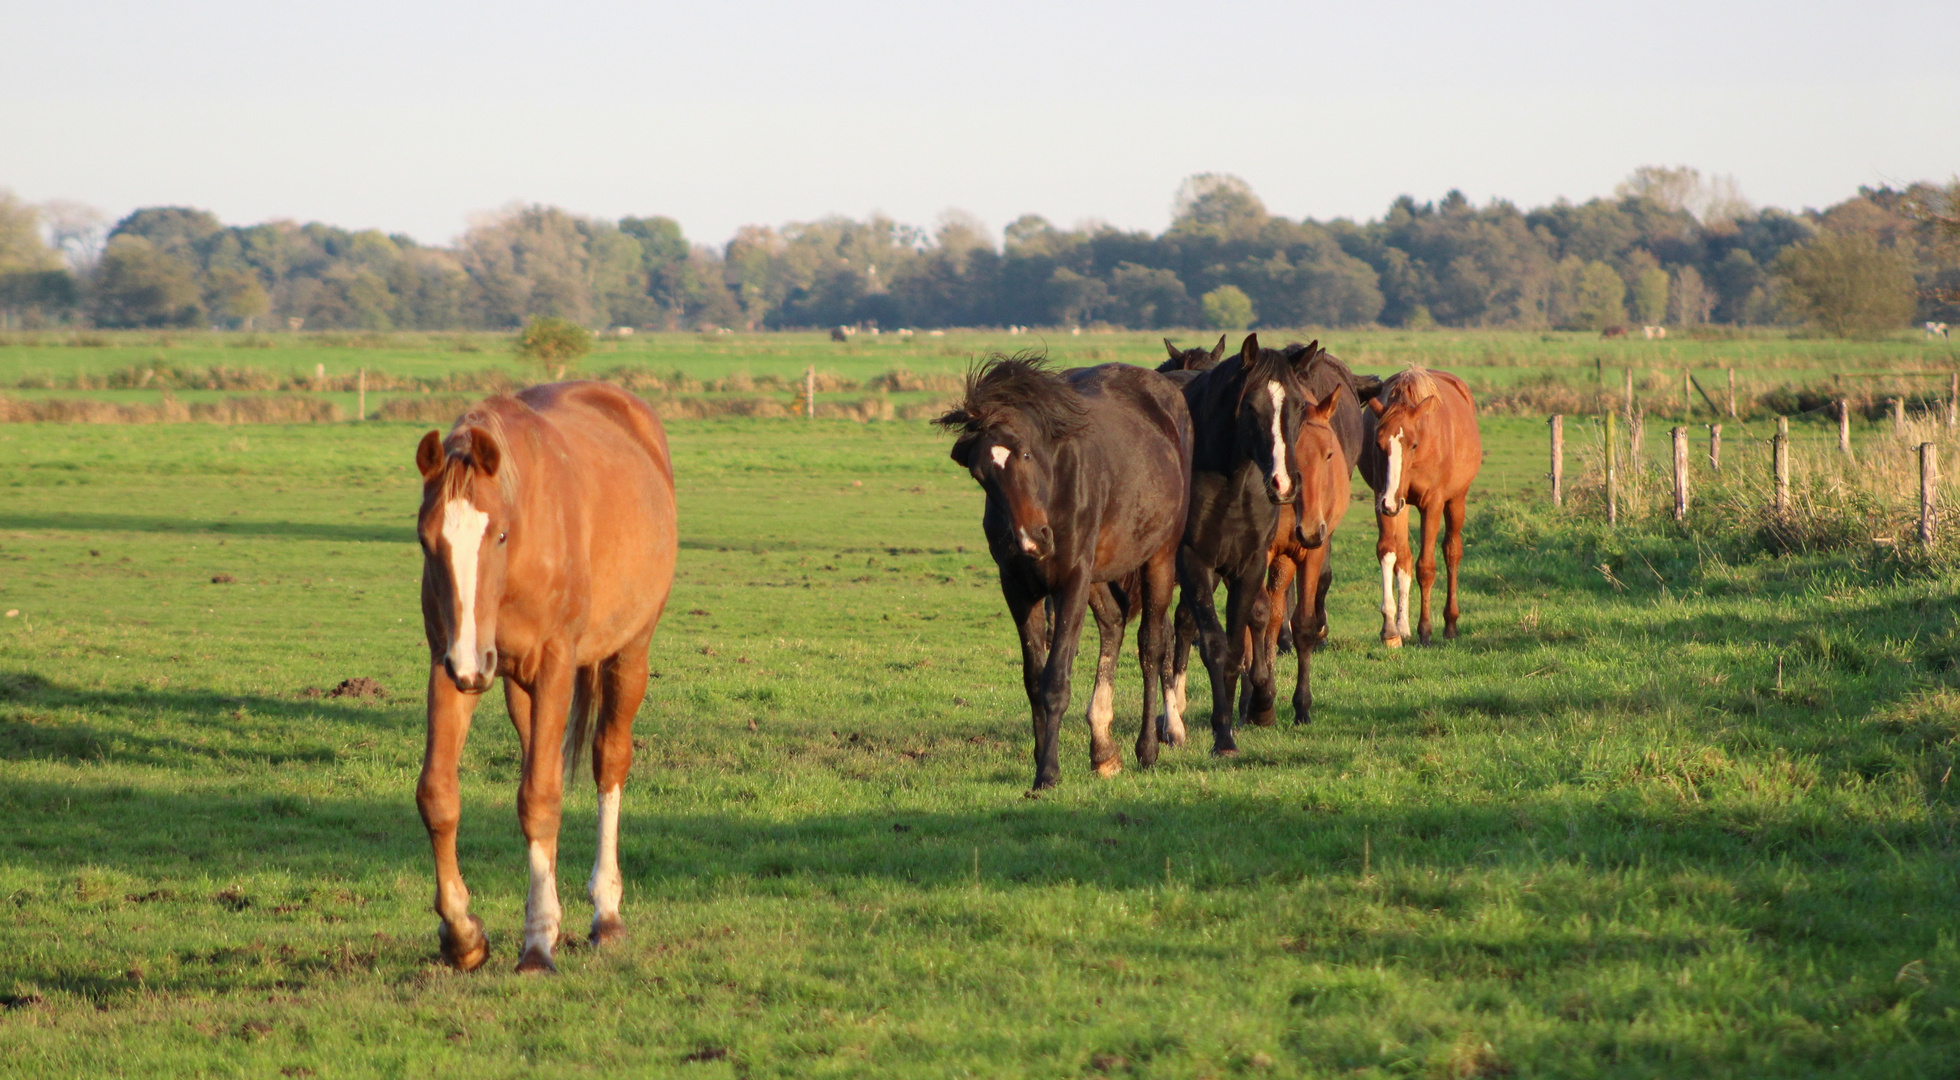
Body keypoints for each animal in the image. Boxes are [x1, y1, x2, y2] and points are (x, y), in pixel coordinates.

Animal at [411, 384, 674, 976]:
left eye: (501, 534)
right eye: (426, 540)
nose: (471, 663)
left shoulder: (554, 664)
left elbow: (539, 798)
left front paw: (535, 948)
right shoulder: (449, 662)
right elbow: (440, 795)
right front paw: (463, 935)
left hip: (629, 654)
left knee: (609, 761)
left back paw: (606, 914)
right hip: (515, 686)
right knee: (543, 763)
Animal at [936, 358, 1191, 791]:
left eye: (1025, 454)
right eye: (979, 474)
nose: (1033, 540)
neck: (1054, 487)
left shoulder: (1070, 580)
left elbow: (1055, 680)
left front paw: (1048, 773)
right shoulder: (1018, 589)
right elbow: (1033, 679)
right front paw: (1043, 756)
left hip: (1159, 557)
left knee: (1152, 646)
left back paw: (1147, 748)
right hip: (1097, 576)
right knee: (1113, 623)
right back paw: (1103, 751)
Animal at [1356, 368, 1473, 646]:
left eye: (1414, 444)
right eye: (1378, 443)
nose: (1390, 502)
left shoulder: (1432, 504)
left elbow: (1426, 567)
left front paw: (1426, 630)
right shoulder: (1383, 498)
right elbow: (1389, 554)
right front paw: (1390, 630)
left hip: (1456, 500)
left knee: (1452, 551)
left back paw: (1450, 624)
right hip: (1401, 505)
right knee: (1404, 560)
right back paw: (1403, 626)